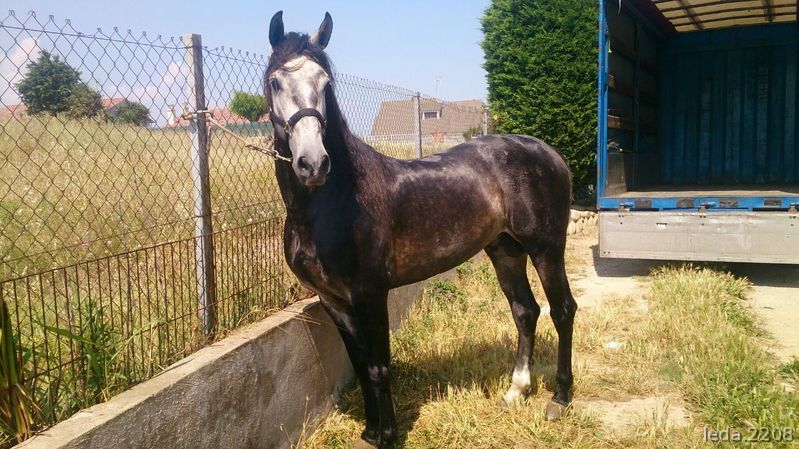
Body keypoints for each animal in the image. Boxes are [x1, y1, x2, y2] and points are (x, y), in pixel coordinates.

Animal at [265, 11, 578, 448]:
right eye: (275, 81)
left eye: (326, 83)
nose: (313, 163)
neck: (331, 204)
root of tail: (550, 154)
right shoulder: (334, 300)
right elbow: (360, 365)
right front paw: (369, 431)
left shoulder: (370, 294)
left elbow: (378, 366)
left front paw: (387, 435)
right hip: (505, 250)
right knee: (525, 310)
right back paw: (517, 389)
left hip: (546, 248)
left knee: (562, 309)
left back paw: (560, 397)